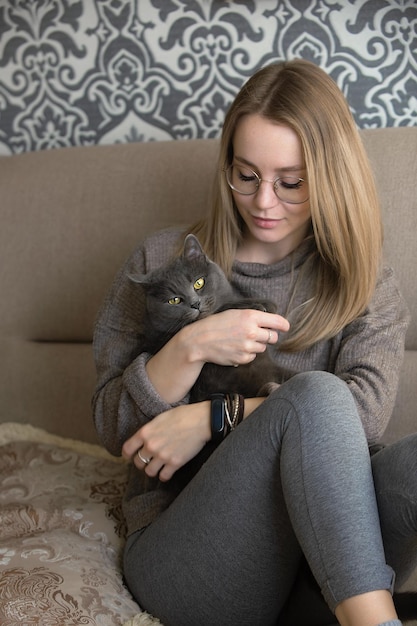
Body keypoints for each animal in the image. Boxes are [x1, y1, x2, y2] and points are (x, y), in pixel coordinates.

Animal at [128, 232, 282, 398]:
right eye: (174, 300)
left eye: (199, 283)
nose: (195, 303)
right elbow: (223, 309)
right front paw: (260, 305)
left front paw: (267, 303)